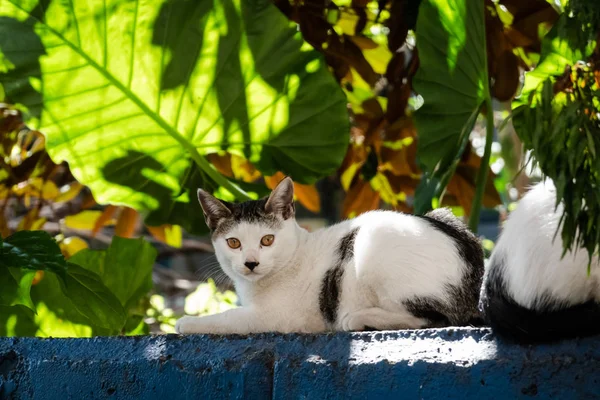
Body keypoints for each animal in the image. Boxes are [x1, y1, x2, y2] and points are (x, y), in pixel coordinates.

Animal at [176, 176, 486, 334]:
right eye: (233, 243)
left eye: (267, 240)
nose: (251, 263)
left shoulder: (276, 318)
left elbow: (230, 318)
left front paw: (187, 322)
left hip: (370, 243)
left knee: (436, 318)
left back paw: (357, 319)